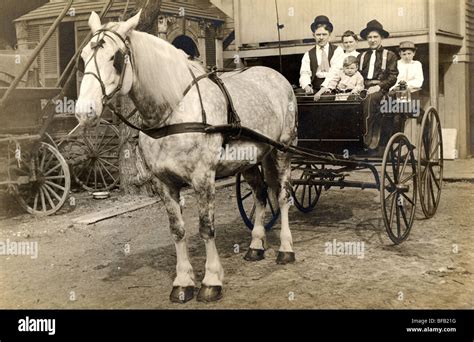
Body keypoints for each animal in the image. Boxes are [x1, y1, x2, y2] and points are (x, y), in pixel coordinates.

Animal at [76, 11, 298, 304]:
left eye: (116, 57)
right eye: (82, 57)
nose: (84, 111)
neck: (174, 111)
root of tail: (276, 76)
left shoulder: (203, 178)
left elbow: (206, 227)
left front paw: (211, 281)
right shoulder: (164, 183)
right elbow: (177, 230)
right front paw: (182, 282)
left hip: (283, 149)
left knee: (282, 196)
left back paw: (286, 249)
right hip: (250, 159)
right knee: (261, 195)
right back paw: (256, 245)